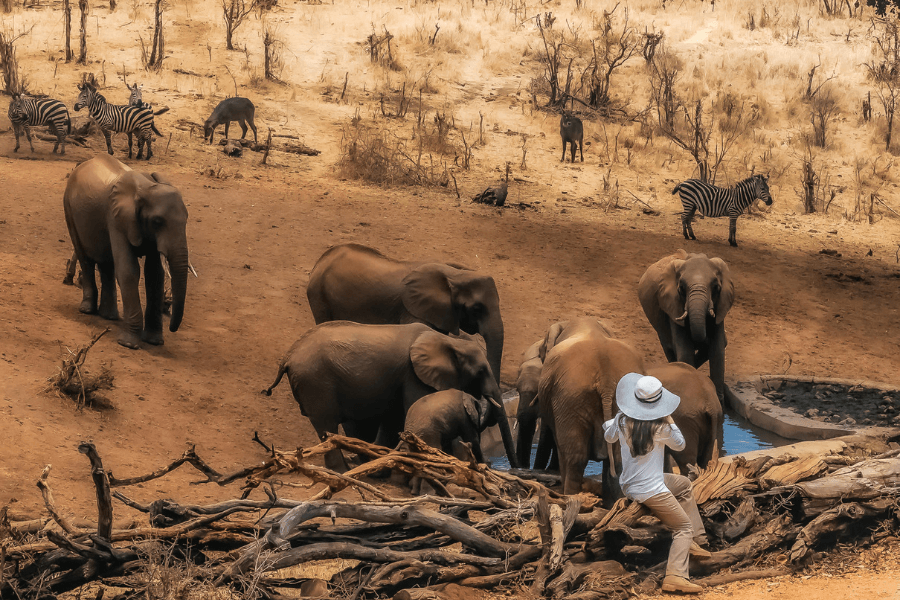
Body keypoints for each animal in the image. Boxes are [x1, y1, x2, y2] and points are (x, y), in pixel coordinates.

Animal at [63, 154, 189, 349]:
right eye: (157, 221)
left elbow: (154, 275)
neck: (145, 187)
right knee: (85, 259)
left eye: (186, 220)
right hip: (68, 207)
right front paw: (129, 344)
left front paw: (154, 342)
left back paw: (109, 316)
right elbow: (129, 271)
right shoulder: (117, 218)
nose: (172, 328)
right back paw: (87, 310)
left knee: (106, 263)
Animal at [262, 322, 518, 472]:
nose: (514, 469)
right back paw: (342, 470)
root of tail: (288, 356)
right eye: (480, 372)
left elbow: (393, 416)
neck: (447, 341)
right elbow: (411, 406)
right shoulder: (413, 374)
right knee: (327, 423)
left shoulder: (398, 377)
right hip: (316, 381)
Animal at [537, 318, 645, 498]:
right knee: (618, 457)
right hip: (624, 401)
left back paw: (570, 497)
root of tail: (606, 380)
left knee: (575, 456)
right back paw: (615, 502)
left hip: (570, 398)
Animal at [638, 250, 734, 405]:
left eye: (716, 287)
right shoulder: (672, 306)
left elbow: (718, 349)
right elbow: (685, 351)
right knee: (669, 347)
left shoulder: (721, 305)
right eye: (681, 288)